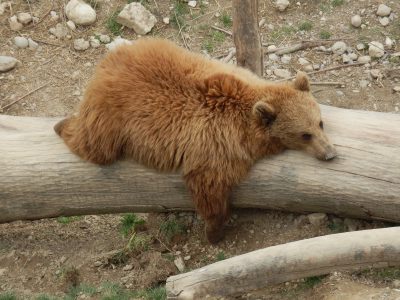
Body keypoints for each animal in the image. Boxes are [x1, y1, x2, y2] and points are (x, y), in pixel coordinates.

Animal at [54, 37, 336, 244]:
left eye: (319, 123)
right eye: (305, 134)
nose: (330, 152)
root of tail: (108, 61)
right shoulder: (217, 146)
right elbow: (209, 188)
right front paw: (214, 232)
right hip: (111, 116)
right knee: (95, 146)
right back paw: (61, 125)